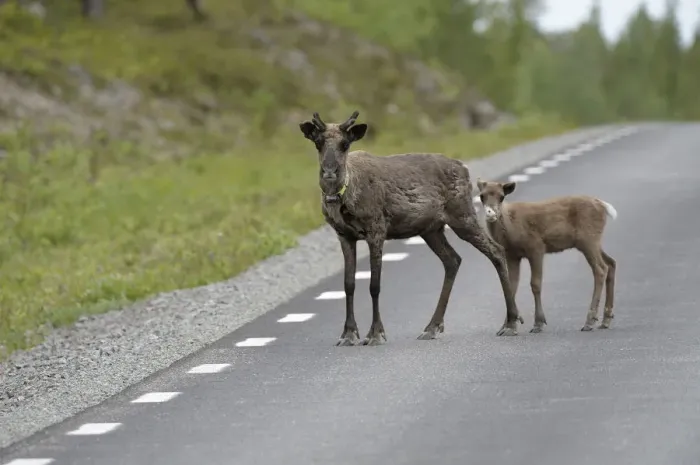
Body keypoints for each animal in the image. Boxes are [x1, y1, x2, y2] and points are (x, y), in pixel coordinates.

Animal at [298, 110, 523, 346]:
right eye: (318, 142)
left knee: (496, 250)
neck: (344, 194)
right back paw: (432, 327)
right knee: (453, 260)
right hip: (431, 230)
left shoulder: (376, 230)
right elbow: (348, 285)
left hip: (462, 216)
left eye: (344, 144)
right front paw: (348, 334)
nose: (329, 172)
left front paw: (375, 333)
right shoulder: (344, 235)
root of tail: (465, 168)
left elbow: (374, 285)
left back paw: (510, 322)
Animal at [476, 178, 618, 333]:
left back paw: (589, 321)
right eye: (482, 196)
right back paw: (605, 320)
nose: (490, 214)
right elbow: (512, 287)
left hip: (588, 239)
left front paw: (538, 323)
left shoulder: (536, 247)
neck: (511, 228)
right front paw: (506, 327)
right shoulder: (511, 255)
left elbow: (535, 284)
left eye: (501, 196)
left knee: (600, 269)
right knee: (611, 263)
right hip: (590, 242)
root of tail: (603, 205)